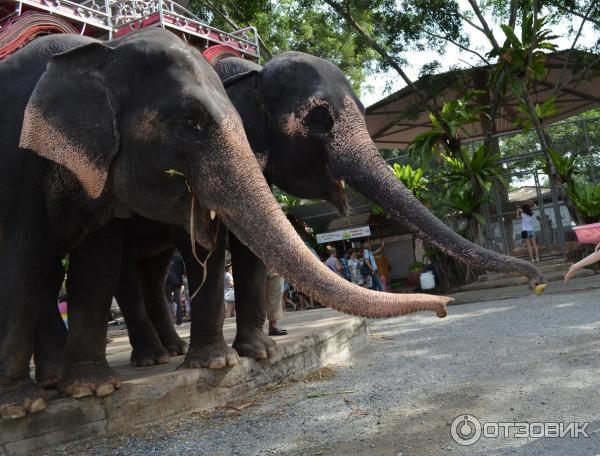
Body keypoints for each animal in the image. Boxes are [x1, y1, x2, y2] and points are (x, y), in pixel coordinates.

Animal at [57, 50, 548, 370]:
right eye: (319, 117)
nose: (538, 282)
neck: (247, 71)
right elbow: (207, 238)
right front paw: (221, 361)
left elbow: (252, 250)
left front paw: (258, 353)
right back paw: (152, 358)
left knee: (152, 270)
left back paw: (168, 352)